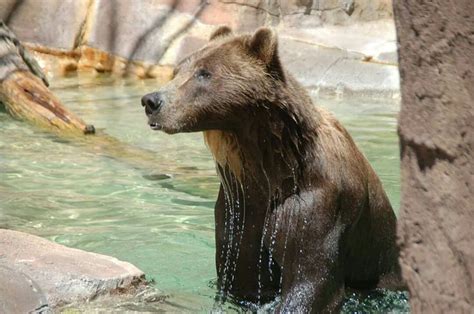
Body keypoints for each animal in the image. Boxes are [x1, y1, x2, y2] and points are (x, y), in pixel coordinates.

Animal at [141, 26, 404, 312]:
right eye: (178, 69)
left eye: (204, 73)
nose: (151, 101)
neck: (271, 167)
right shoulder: (240, 209)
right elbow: (243, 275)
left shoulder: (317, 203)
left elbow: (310, 280)